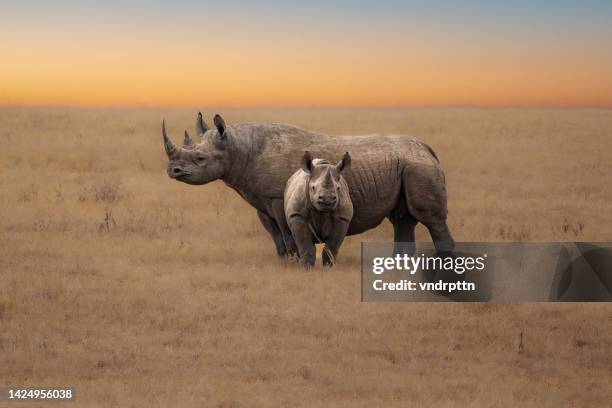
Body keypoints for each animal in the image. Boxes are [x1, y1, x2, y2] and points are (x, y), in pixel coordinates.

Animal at [163, 111, 454, 256]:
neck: (238, 148)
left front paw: (294, 258)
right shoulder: (260, 198)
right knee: (403, 219)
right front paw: (284, 259)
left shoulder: (277, 196)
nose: (172, 170)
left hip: (418, 167)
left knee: (430, 218)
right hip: (408, 165)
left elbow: (285, 228)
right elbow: (274, 232)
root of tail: (427, 148)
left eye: (200, 158)